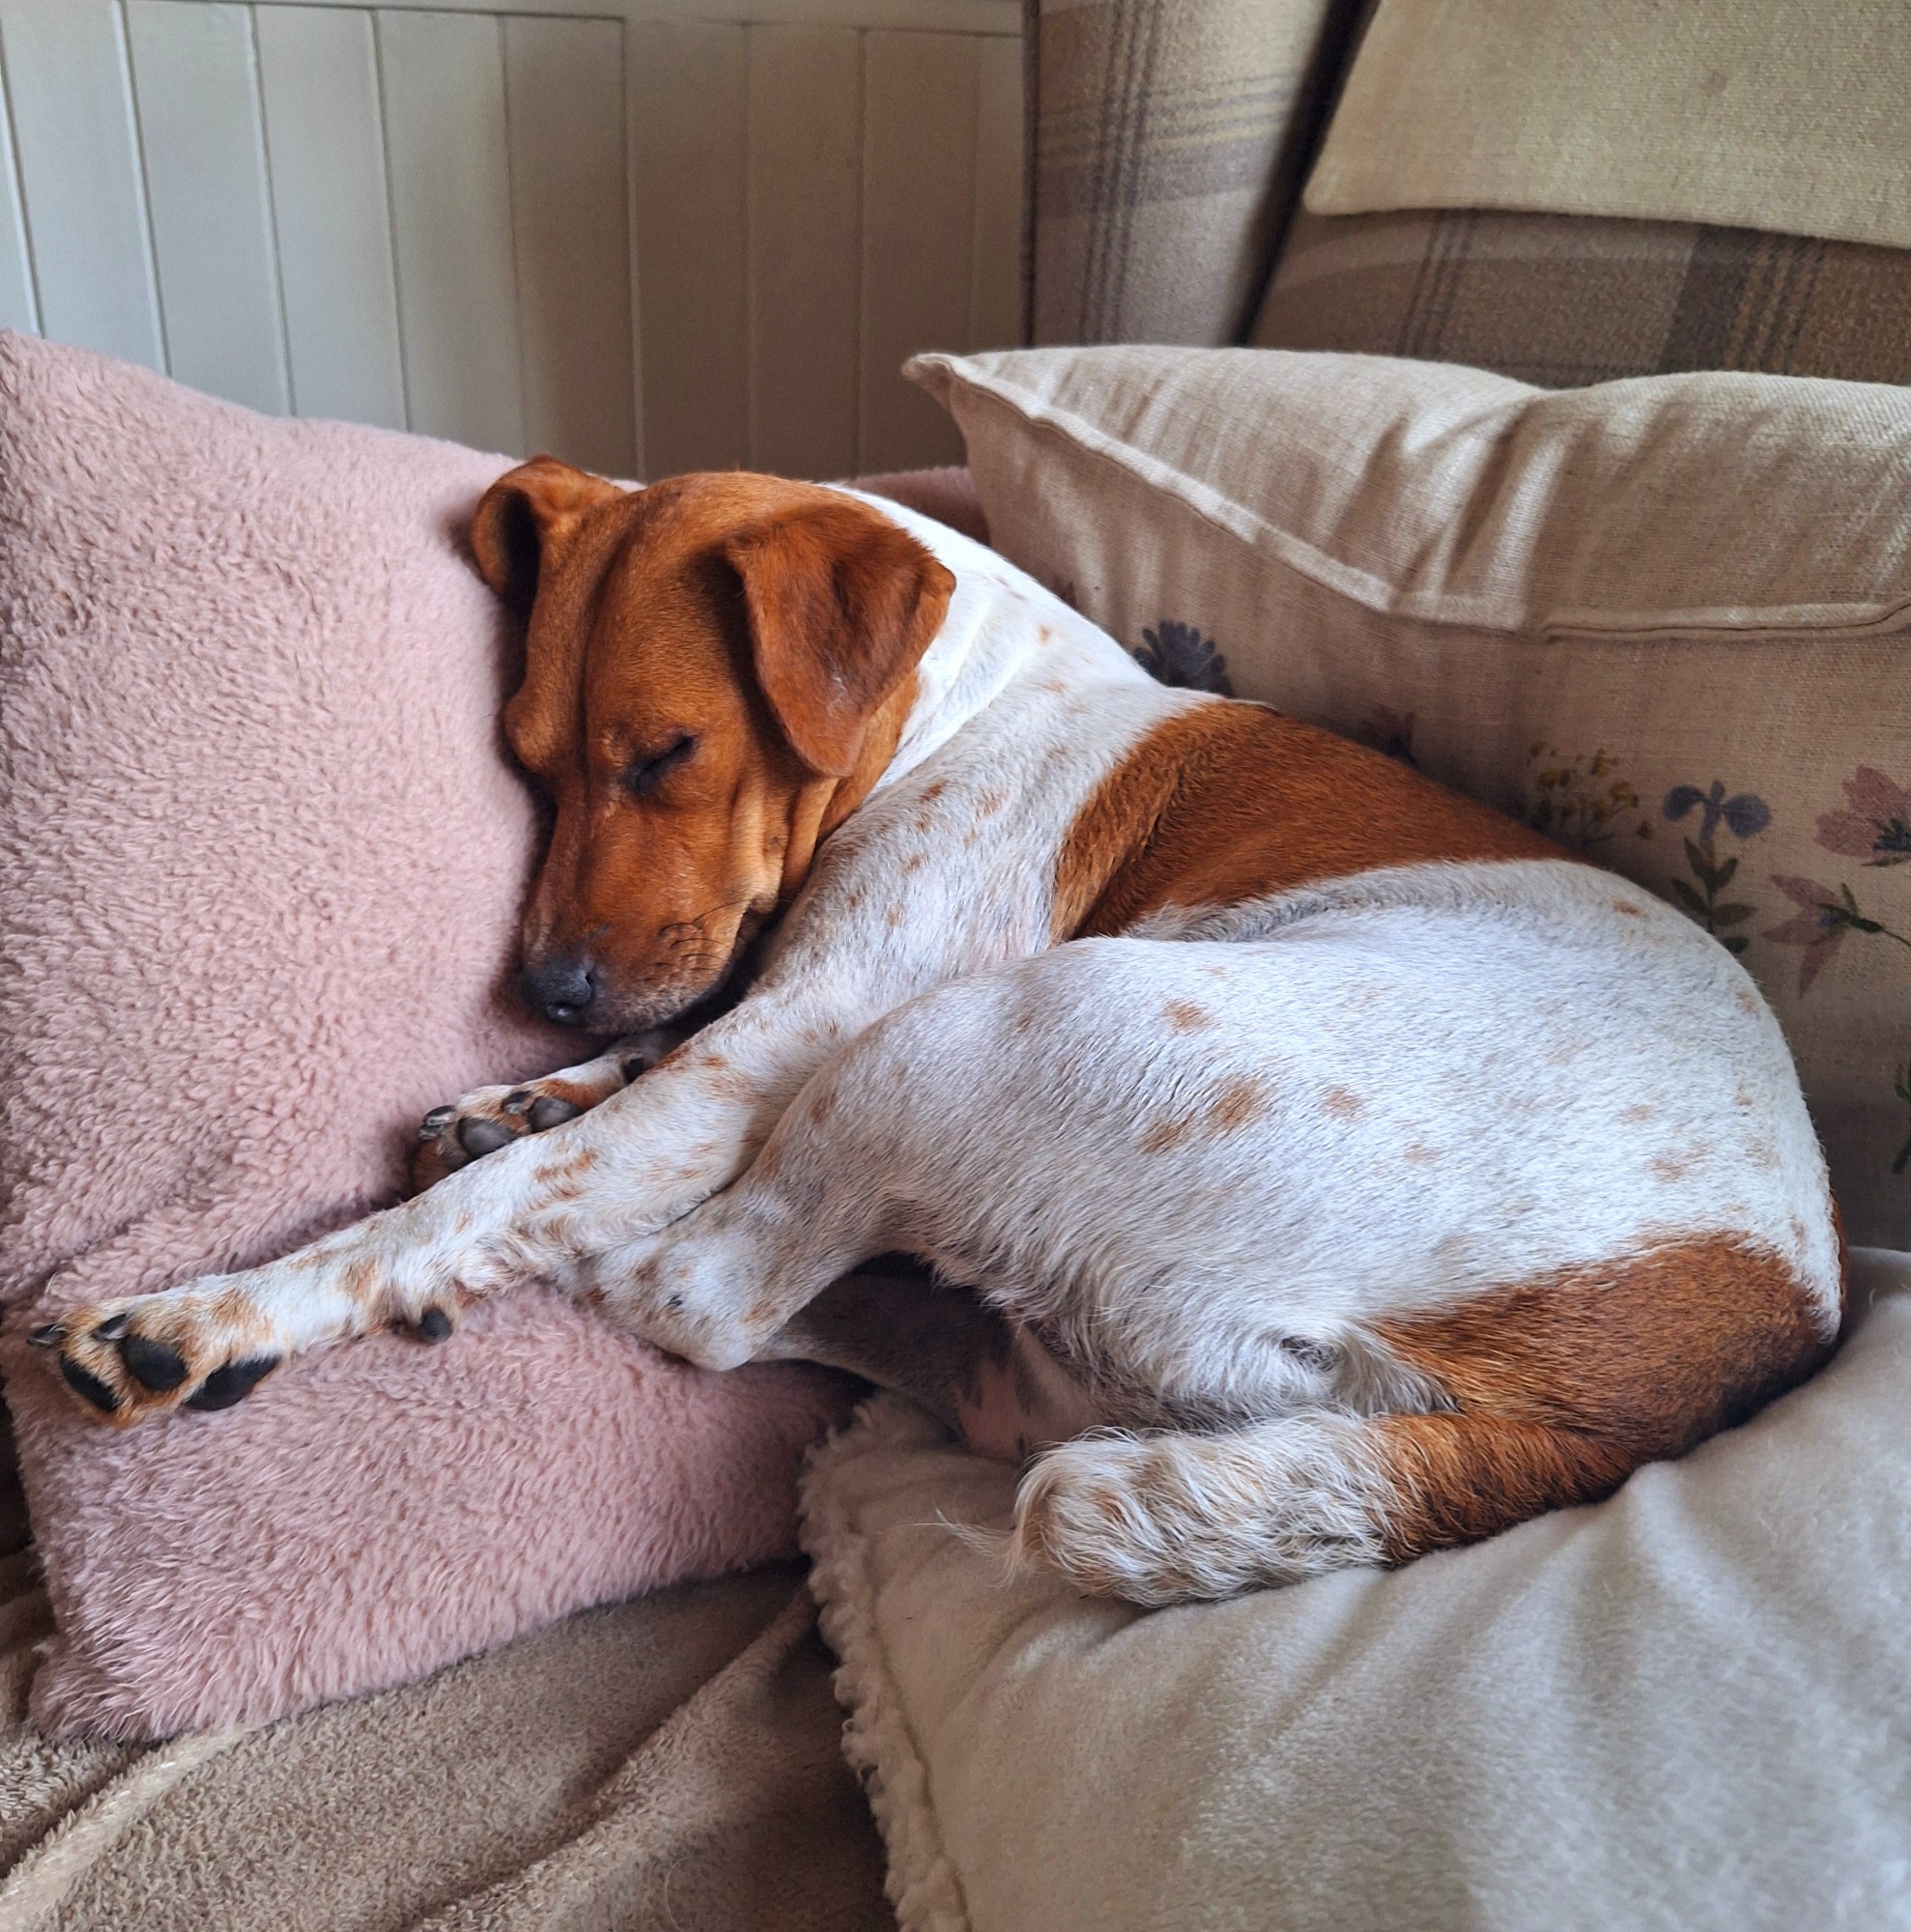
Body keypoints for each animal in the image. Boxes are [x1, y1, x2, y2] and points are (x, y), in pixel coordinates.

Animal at [32, 460, 1842, 1604]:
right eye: (526, 762)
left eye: (665, 754)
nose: (541, 996)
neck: (959, 710)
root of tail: (1663, 1398)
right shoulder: (749, 1022)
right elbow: (616, 1096)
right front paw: (530, 1093)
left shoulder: (796, 1037)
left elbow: (498, 1201)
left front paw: (224, 1308)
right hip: (1053, 1341)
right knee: (876, 1327)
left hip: (989, 1029)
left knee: (696, 1290)